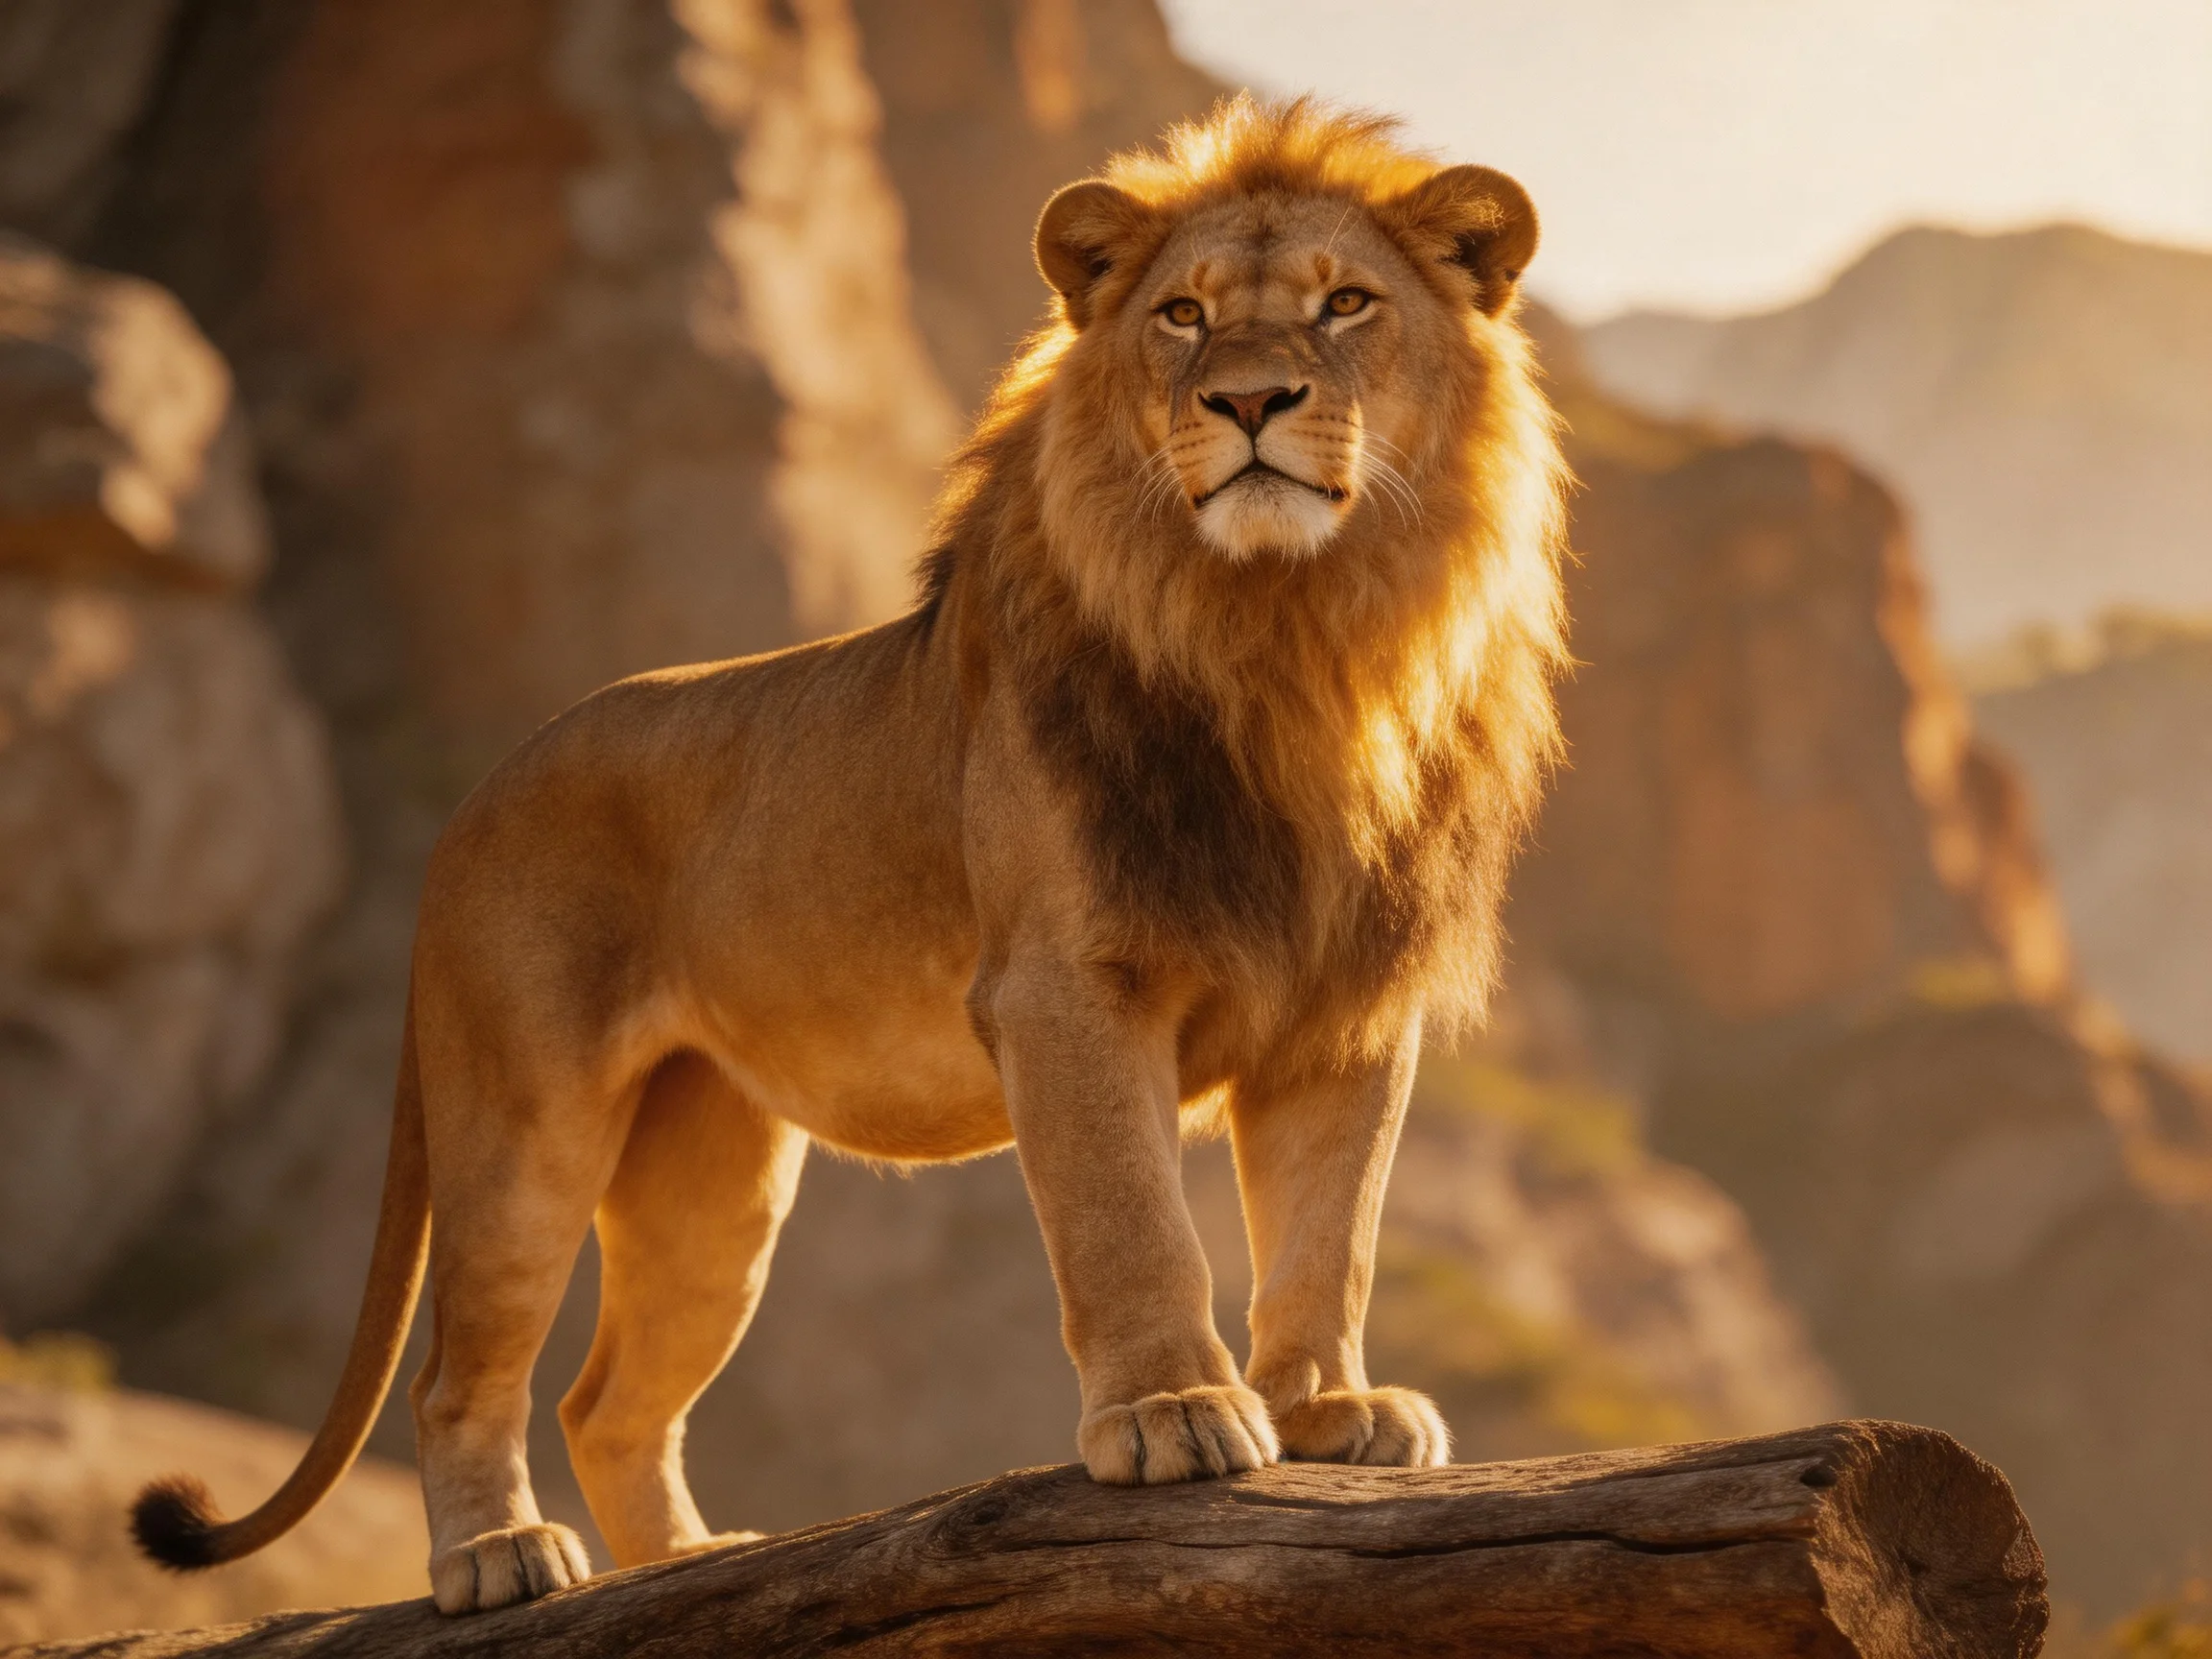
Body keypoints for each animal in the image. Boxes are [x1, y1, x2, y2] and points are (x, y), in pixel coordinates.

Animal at [131, 96, 1569, 1614]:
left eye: (1346, 305)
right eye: (1181, 316)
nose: (1246, 403)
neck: (1295, 641)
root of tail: (473, 800)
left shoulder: (1345, 1012)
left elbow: (1328, 1236)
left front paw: (1326, 1412)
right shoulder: (1064, 988)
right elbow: (1131, 1219)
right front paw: (1173, 1412)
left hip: (714, 1183)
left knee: (608, 1402)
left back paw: (694, 1569)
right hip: (523, 1125)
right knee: (460, 1378)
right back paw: (496, 1557)